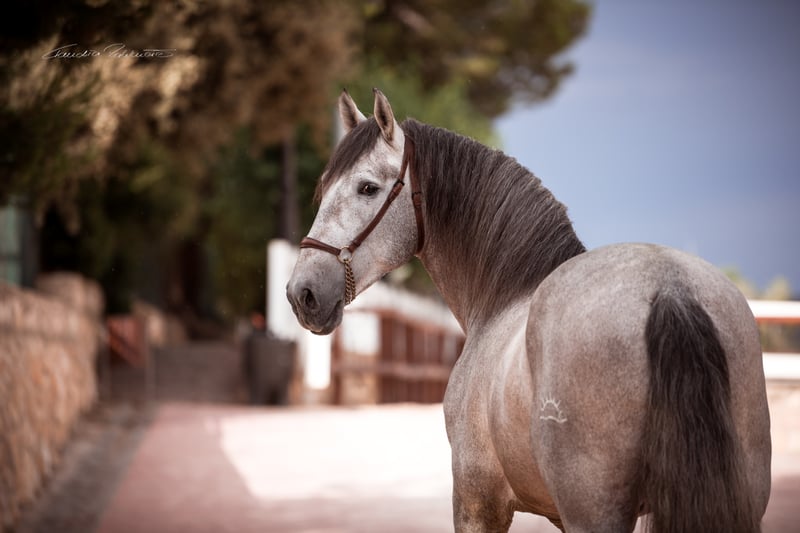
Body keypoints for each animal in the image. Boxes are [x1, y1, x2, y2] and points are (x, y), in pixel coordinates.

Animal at [286, 89, 771, 533]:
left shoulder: (477, 502)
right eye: (324, 188)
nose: (301, 293)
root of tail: (669, 287)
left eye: (367, 187)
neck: (505, 297)